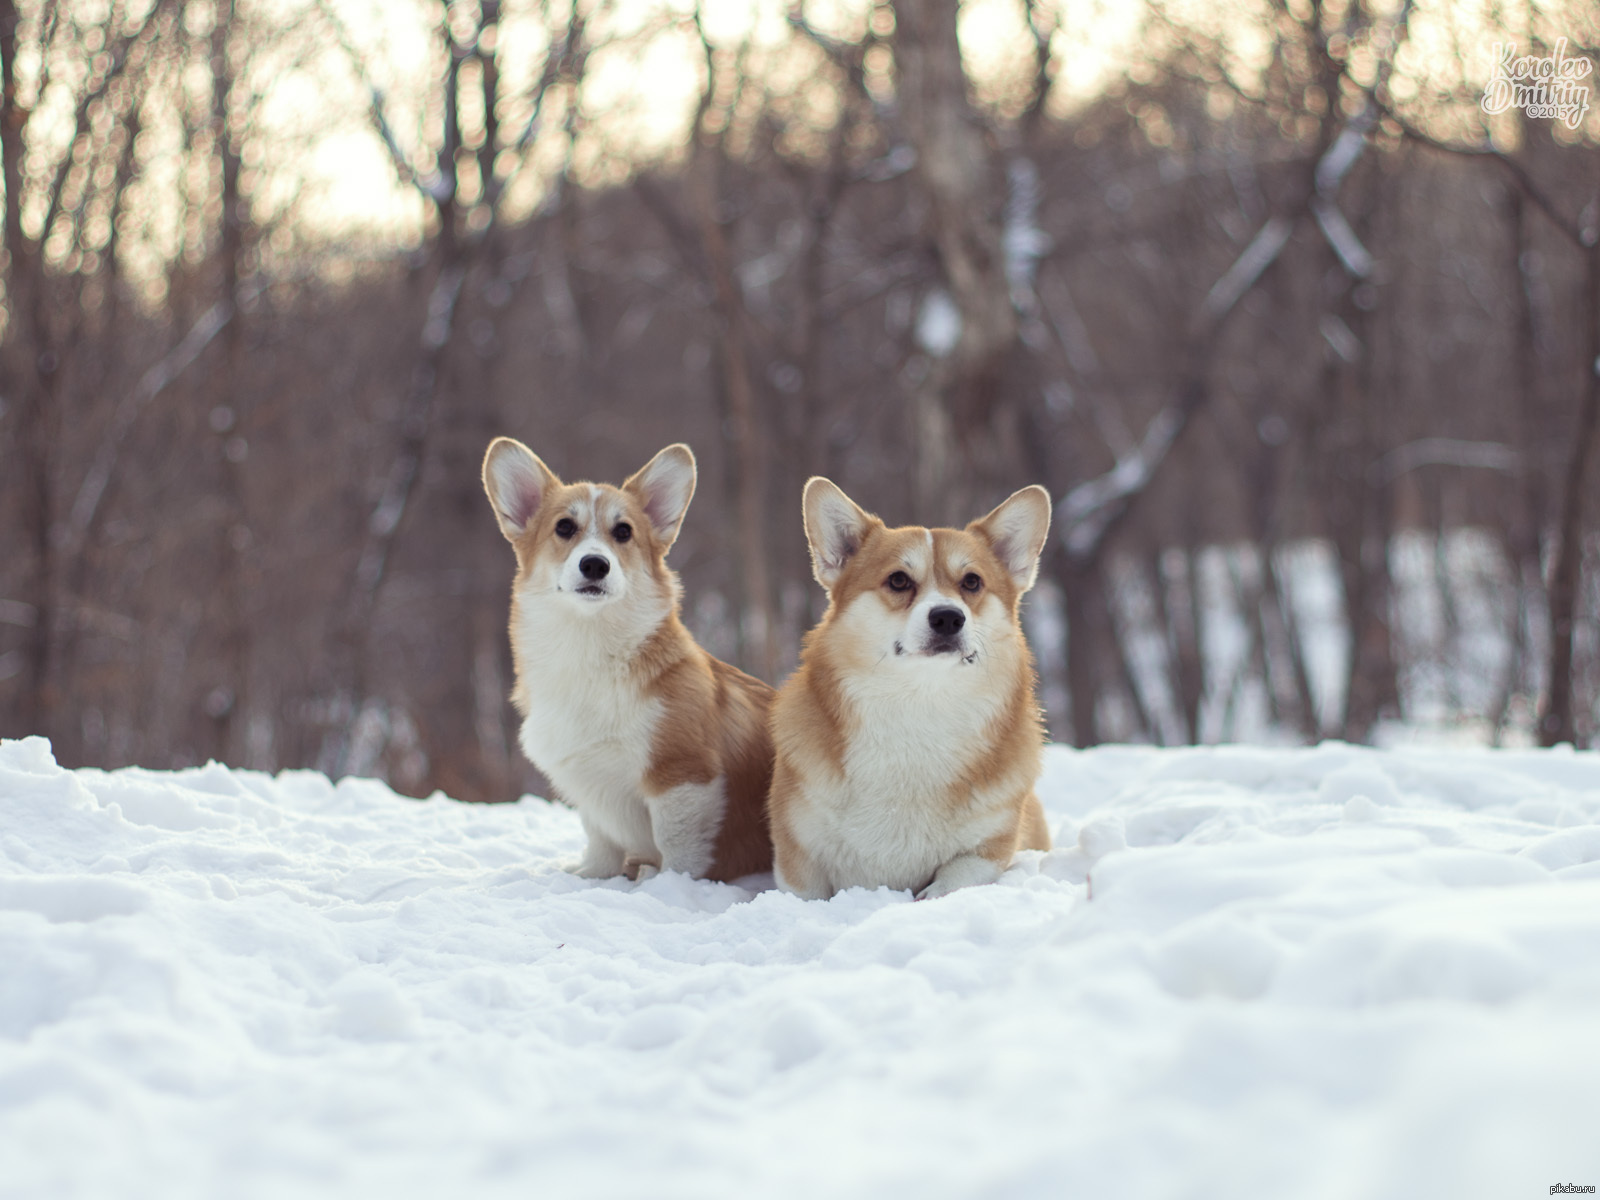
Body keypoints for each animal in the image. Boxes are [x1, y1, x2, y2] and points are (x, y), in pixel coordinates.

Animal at [480, 438, 774, 883]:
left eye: (624, 532)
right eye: (564, 527)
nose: (595, 564)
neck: (588, 647)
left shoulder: (683, 776)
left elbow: (677, 846)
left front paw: (667, 886)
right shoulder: (592, 787)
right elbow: (600, 839)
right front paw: (592, 876)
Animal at [768, 480, 1056, 902]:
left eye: (972, 582)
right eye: (899, 580)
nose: (948, 618)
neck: (920, 707)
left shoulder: (988, 847)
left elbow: (953, 881)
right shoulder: (798, 858)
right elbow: (804, 896)